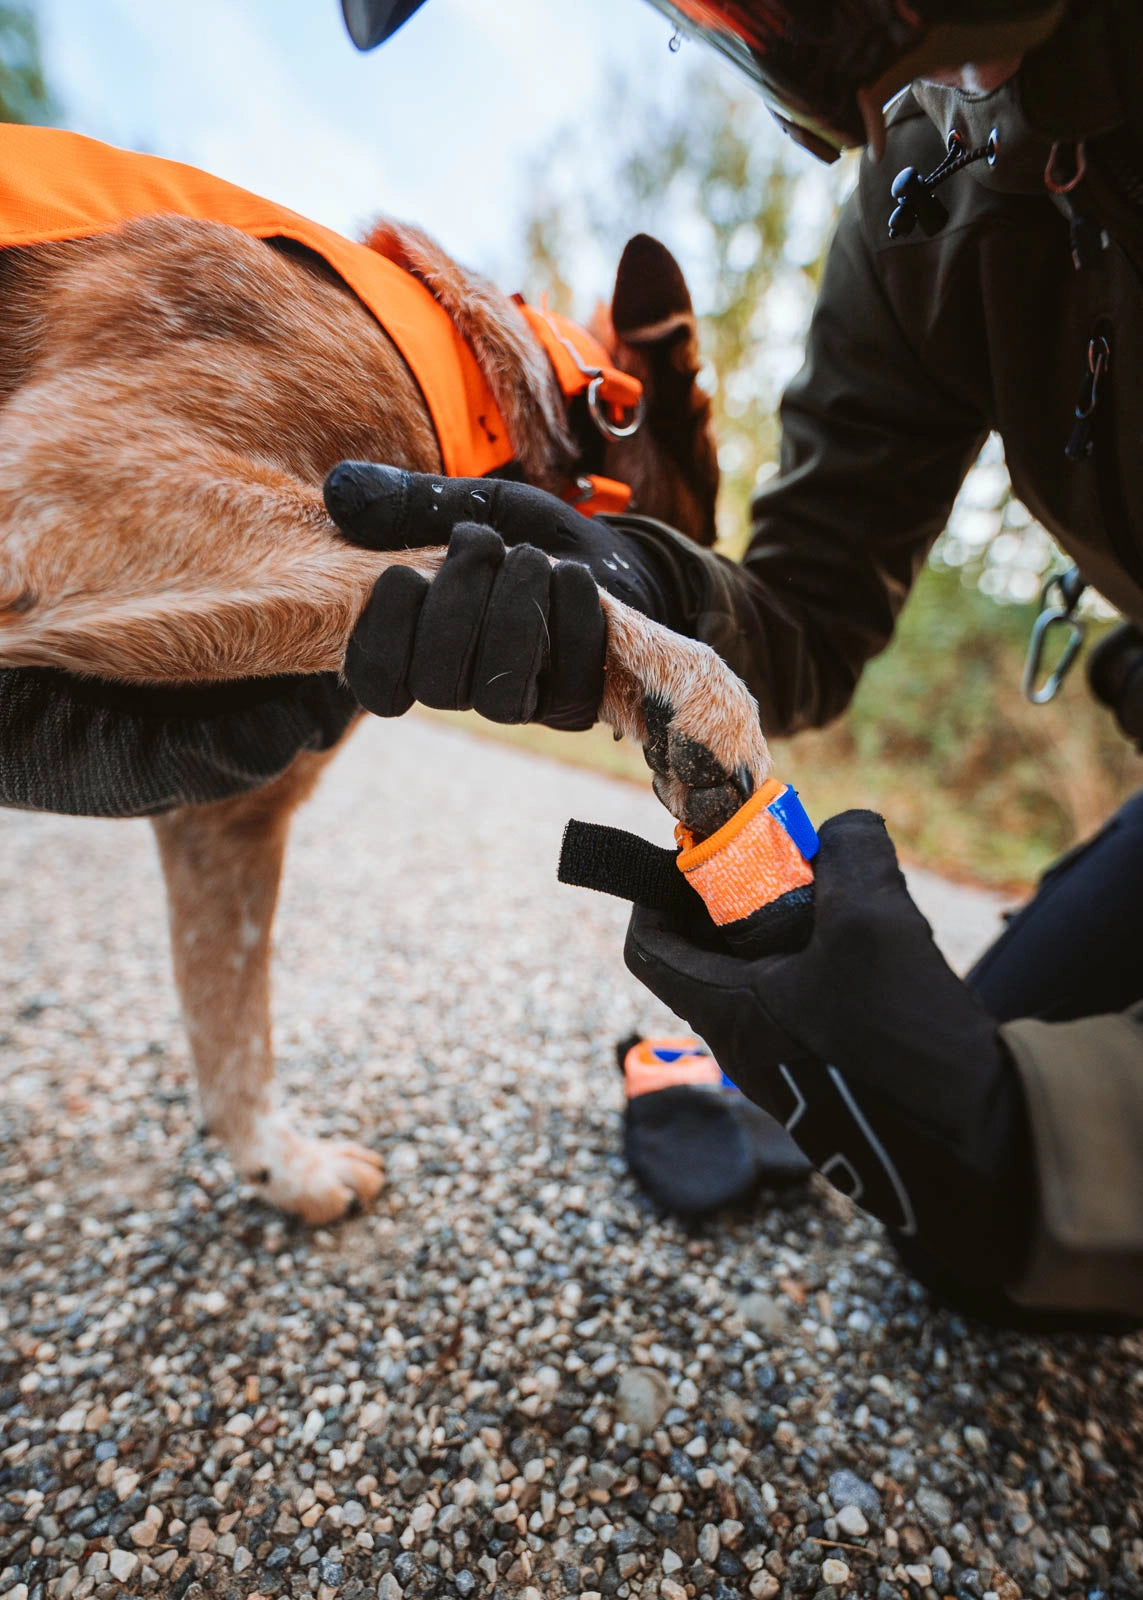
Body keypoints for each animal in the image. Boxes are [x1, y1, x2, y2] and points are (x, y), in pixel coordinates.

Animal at [0, 203, 771, 1222]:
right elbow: (473, 560)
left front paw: (279, 1165)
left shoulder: (226, 820)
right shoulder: (68, 479)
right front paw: (694, 685)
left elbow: (229, 1020)